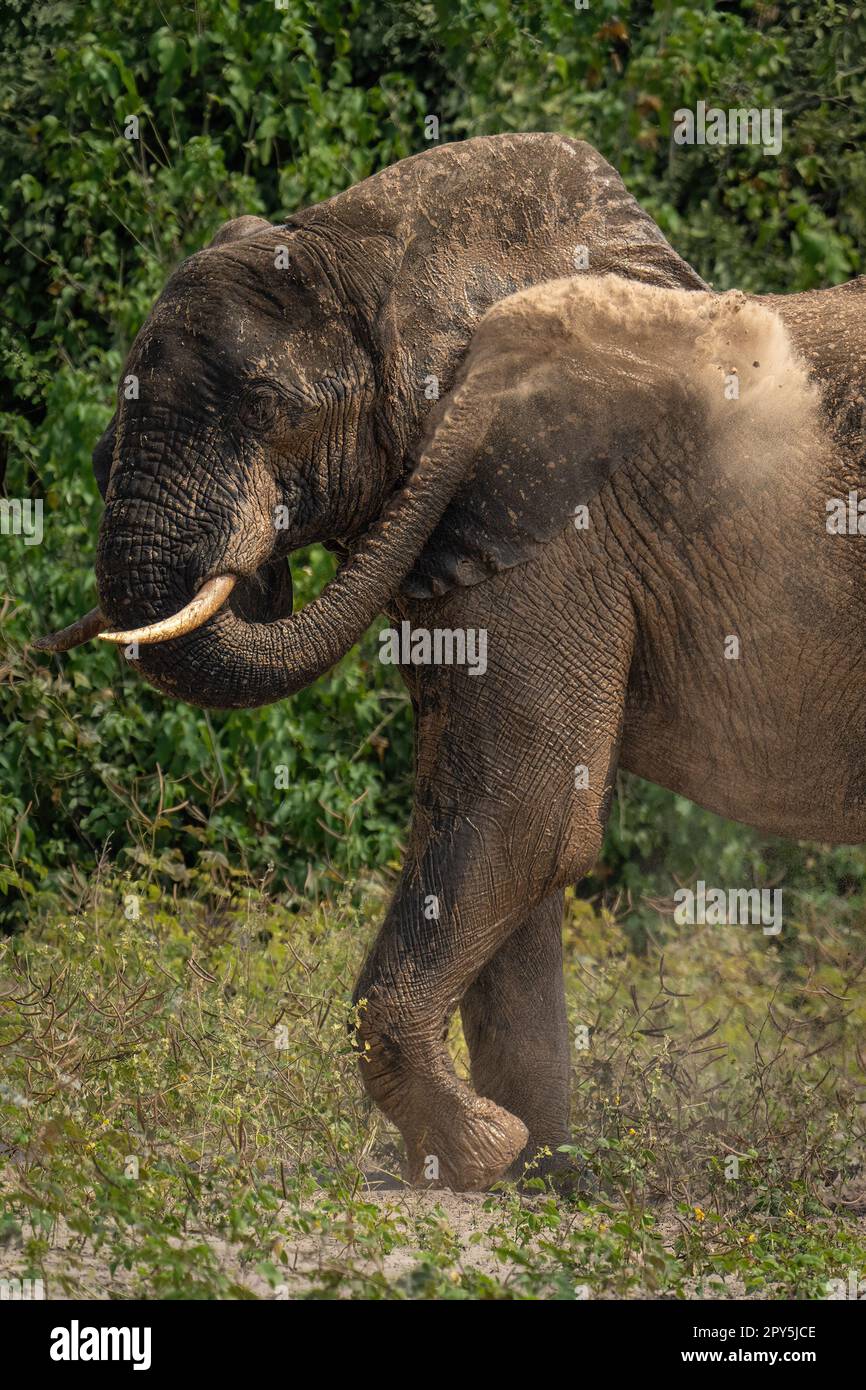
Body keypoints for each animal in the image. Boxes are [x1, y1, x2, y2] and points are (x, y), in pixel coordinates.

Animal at [37, 130, 866, 1189]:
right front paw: (532, 1172)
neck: (377, 250)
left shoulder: (552, 514)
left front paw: (480, 1151)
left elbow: (521, 810)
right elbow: (503, 839)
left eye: (266, 405)